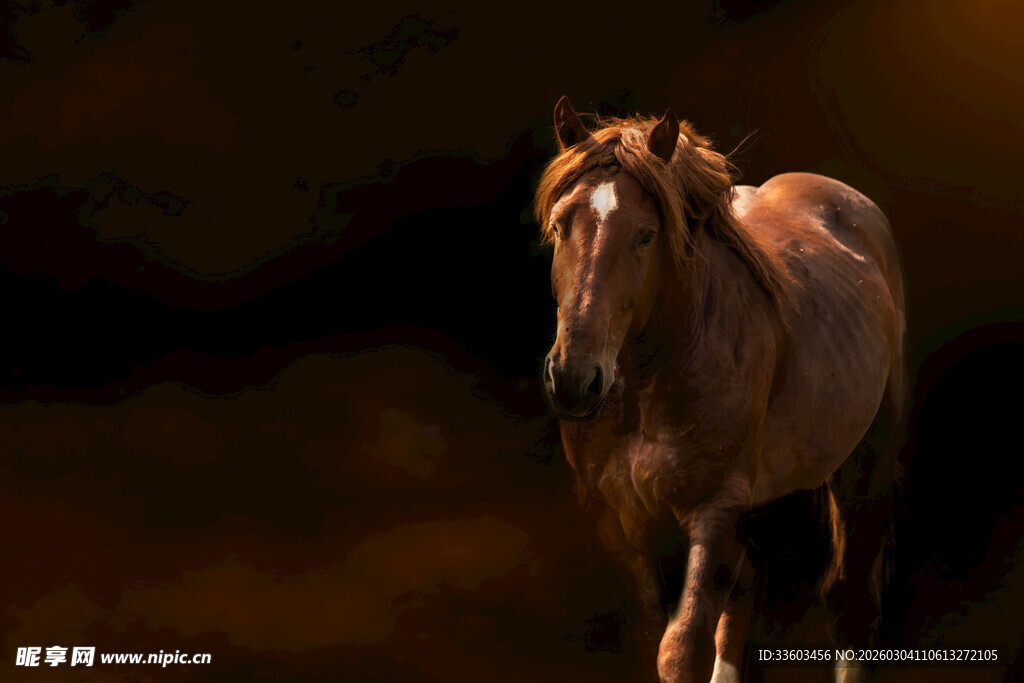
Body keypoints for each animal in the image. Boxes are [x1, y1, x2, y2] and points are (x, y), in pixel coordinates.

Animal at [537, 97, 907, 683]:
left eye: (645, 235)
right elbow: (659, 636)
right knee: (746, 595)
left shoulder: (711, 511)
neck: (648, 388)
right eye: (559, 226)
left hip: (864, 468)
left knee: (849, 604)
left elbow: (679, 649)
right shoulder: (628, 524)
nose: (574, 379)